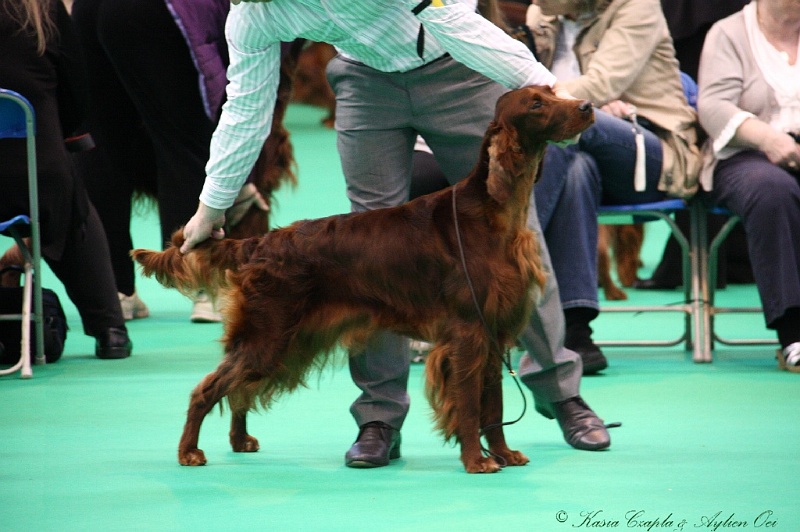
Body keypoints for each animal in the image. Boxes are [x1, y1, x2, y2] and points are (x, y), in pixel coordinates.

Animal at [131, 86, 592, 474]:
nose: (587, 106)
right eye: (537, 104)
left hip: (285, 341)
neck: (496, 214)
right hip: (270, 335)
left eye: (552, 91)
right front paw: (475, 461)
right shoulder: (467, 332)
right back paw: (189, 451)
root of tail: (259, 242)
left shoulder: (494, 334)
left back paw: (240, 440)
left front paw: (503, 454)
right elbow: (468, 406)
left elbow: (492, 408)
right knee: (207, 389)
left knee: (239, 388)